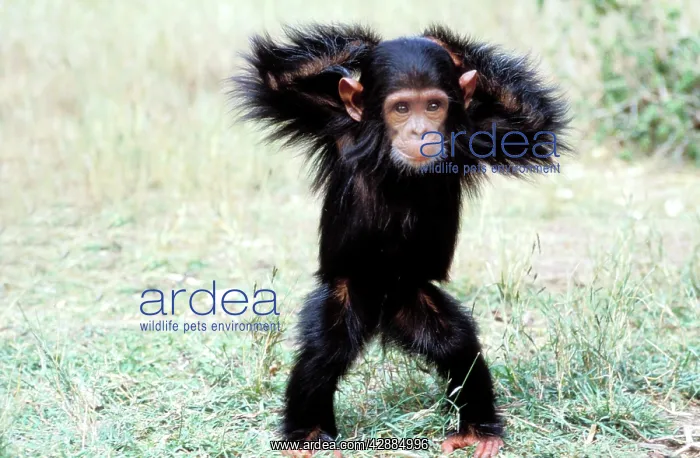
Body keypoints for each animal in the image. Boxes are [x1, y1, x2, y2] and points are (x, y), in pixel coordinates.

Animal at [231, 23, 570, 458]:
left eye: (433, 105)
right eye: (402, 108)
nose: (419, 130)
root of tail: (383, 315)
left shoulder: (483, 132)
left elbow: (533, 123)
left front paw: (445, 48)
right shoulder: (328, 119)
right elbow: (276, 78)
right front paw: (377, 48)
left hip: (415, 297)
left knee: (456, 344)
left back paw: (477, 428)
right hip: (348, 290)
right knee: (324, 352)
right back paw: (307, 434)